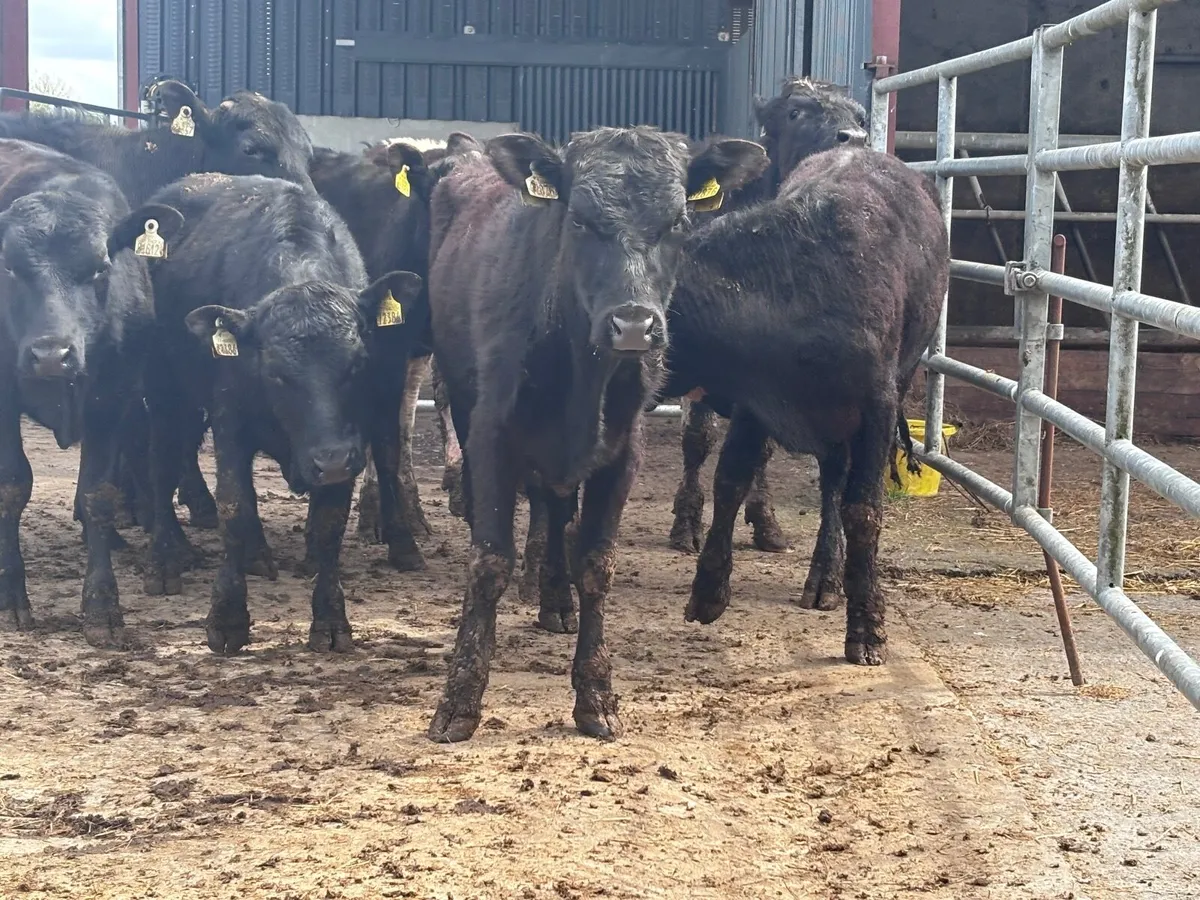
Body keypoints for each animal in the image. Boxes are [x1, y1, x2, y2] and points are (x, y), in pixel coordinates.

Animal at [0, 140, 183, 645]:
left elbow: (98, 495)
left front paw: (102, 605)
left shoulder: (112, 399)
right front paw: (11, 597)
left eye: (101, 267)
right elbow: (11, 485)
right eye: (8, 266)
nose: (50, 354)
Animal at [138, 172, 420, 652]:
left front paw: (330, 620)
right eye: (275, 372)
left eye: (357, 363)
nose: (330, 461)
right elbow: (234, 507)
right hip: (163, 391)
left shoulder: (346, 442)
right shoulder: (230, 425)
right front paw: (227, 618)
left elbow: (329, 526)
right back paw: (167, 559)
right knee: (160, 465)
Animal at [425, 127, 767, 743]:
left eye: (678, 221)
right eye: (579, 220)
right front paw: (459, 699)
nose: (633, 324)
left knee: (557, 510)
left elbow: (596, 565)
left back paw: (555, 599)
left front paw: (596, 695)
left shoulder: (622, 451)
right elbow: (488, 563)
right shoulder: (491, 437)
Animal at [661, 146, 948, 666]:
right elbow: (730, 481)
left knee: (839, 489)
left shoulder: (876, 407)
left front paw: (866, 626)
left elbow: (864, 510)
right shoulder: (755, 403)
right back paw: (824, 576)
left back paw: (829, 579)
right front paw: (708, 590)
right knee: (829, 479)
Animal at [668, 77, 870, 558]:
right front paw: (686, 523)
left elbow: (762, 450)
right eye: (796, 113)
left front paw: (766, 521)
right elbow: (697, 439)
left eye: (861, 116)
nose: (853, 138)